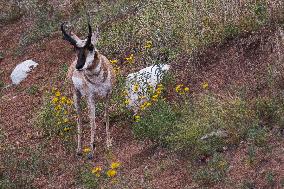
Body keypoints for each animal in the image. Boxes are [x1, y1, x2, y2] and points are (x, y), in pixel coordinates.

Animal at [61, 21, 115, 158]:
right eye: (75, 48)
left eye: (91, 46)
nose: (79, 66)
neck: (98, 80)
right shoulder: (91, 98)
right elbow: (92, 121)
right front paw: (92, 150)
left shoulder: (108, 95)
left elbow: (106, 115)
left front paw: (108, 144)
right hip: (77, 97)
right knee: (79, 118)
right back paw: (79, 149)